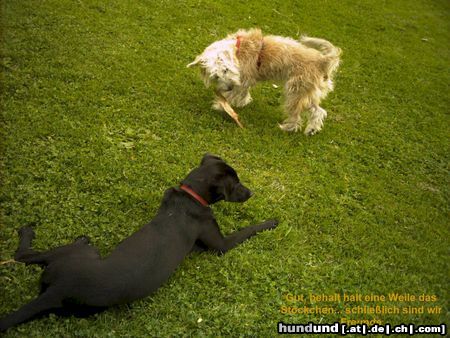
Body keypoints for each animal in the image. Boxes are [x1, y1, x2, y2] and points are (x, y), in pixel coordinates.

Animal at [0, 154, 278, 332]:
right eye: (236, 184)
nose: (251, 193)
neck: (189, 196)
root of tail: (58, 290)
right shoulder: (220, 244)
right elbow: (247, 230)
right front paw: (272, 221)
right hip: (87, 252)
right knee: (25, 255)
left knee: (24, 258)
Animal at [187, 28, 342, 135]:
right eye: (215, 76)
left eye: (226, 70)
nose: (228, 87)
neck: (238, 50)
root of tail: (322, 61)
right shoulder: (244, 81)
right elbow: (242, 94)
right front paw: (240, 102)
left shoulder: (243, 79)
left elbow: (235, 94)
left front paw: (221, 105)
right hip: (306, 93)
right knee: (318, 111)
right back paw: (311, 130)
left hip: (295, 92)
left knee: (297, 116)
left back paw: (288, 128)